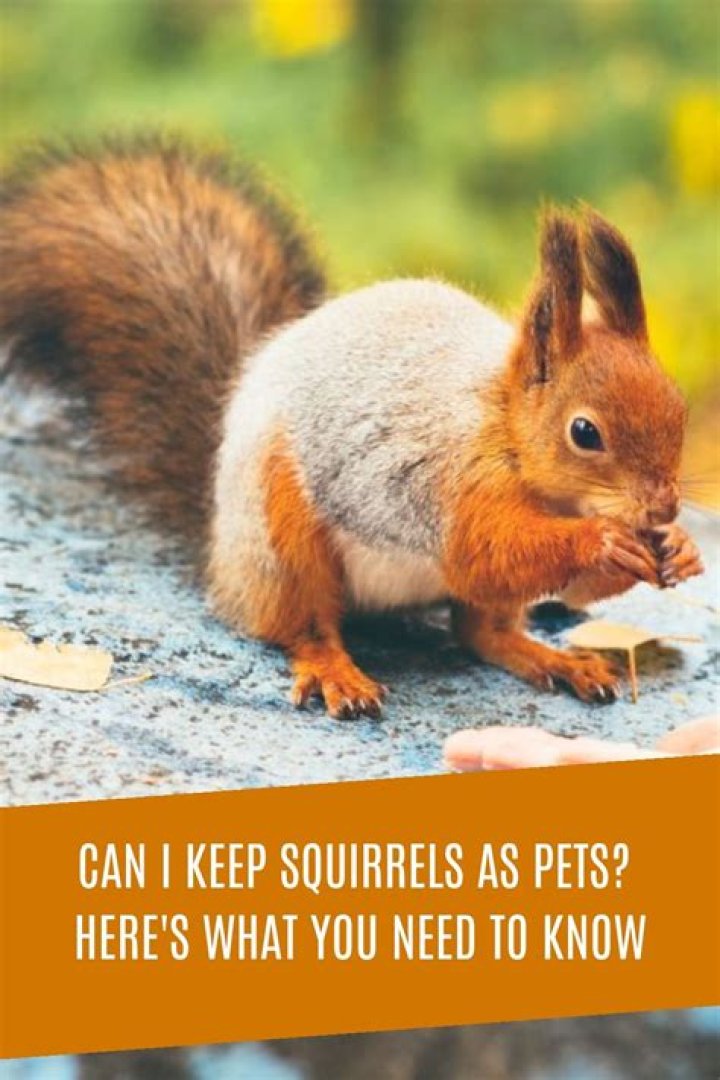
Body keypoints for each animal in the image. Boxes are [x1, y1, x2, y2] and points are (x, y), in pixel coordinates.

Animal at [0, 136, 704, 718]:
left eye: (678, 407)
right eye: (585, 432)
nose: (663, 505)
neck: (506, 428)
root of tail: (220, 543)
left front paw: (679, 547)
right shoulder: (452, 481)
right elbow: (484, 552)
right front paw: (601, 541)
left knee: (483, 632)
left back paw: (553, 659)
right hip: (283, 540)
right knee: (302, 625)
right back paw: (335, 672)